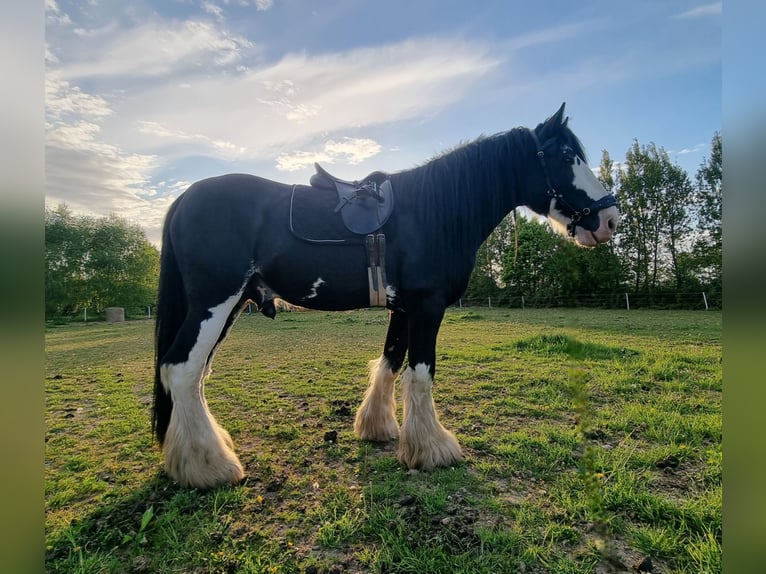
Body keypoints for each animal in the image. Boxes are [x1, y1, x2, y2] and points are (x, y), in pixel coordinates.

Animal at [152, 103, 620, 489]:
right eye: (566, 156)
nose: (610, 220)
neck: (433, 212)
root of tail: (183, 200)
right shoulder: (428, 306)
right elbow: (421, 373)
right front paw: (432, 450)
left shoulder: (404, 308)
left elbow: (391, 362)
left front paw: (378, 428)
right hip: (214, 302)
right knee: (181, 369)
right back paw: (208, 466)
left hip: (230, 305)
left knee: (193, 375)